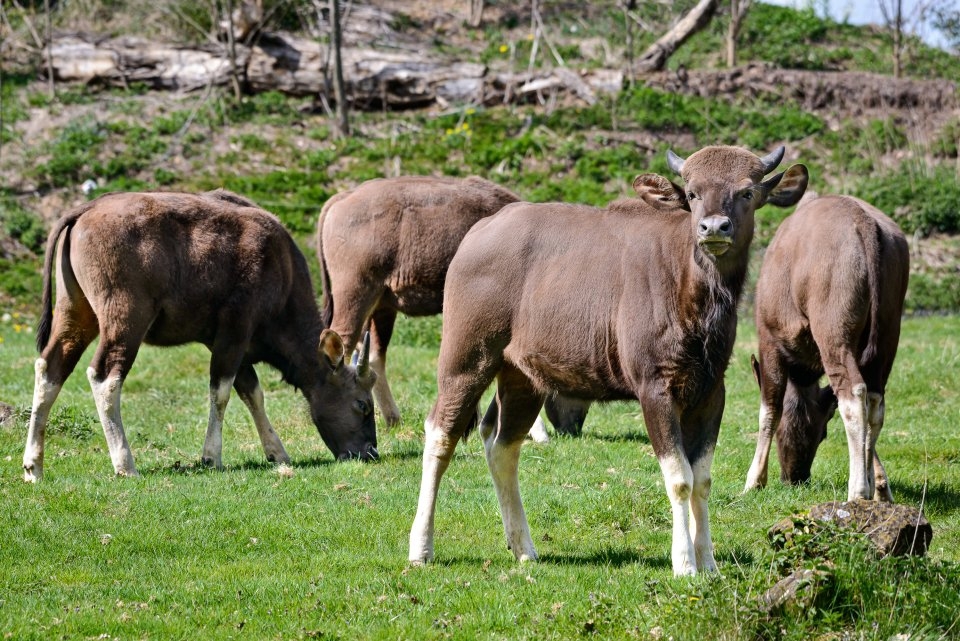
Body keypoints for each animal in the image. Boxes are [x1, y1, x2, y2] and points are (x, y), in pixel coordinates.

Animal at [22, 186, 376, 480]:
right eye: (362, 404)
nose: (370, 453)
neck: (281, 270)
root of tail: (86, 210)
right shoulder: (235, 330)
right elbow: (221, 391)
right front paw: (211, 456)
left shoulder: (229, 342)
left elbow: (252, 392)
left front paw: (276, 452)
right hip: (125, 319)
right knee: (105, 377)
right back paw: (125, 464)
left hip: (75, 313)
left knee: (50, 368)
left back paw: (33, 466)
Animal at [318, 175, 592, 436]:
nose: (574, 426)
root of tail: (342, 198)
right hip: (356, 294)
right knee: (343, 341)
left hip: (382, 305)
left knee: (373, 355)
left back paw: (393, 419)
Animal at [408, 145, 808, 576]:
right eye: (693, 193)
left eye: (747, 192)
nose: (714, 228)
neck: (690, 294)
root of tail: (474, 237)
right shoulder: (655, 388)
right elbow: (679, 478)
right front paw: (684, 563)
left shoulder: (711, 391)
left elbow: (702, 480)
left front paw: (709, 563)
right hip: (466, 358)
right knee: (440, 433)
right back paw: (421, 547)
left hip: (522, 377)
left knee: (503, 446)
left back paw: (523, 547)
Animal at [744, 192, 908, 502]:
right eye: (822, 433)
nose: (795, 477)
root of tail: (864, 222)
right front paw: (882, 485)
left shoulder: (767, 339)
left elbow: (768, 409)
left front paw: (754, 481)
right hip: (888, 332)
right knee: (875, 401)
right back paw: (869, 487)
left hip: (833, 329)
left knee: (854, 395)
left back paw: (857, 491)